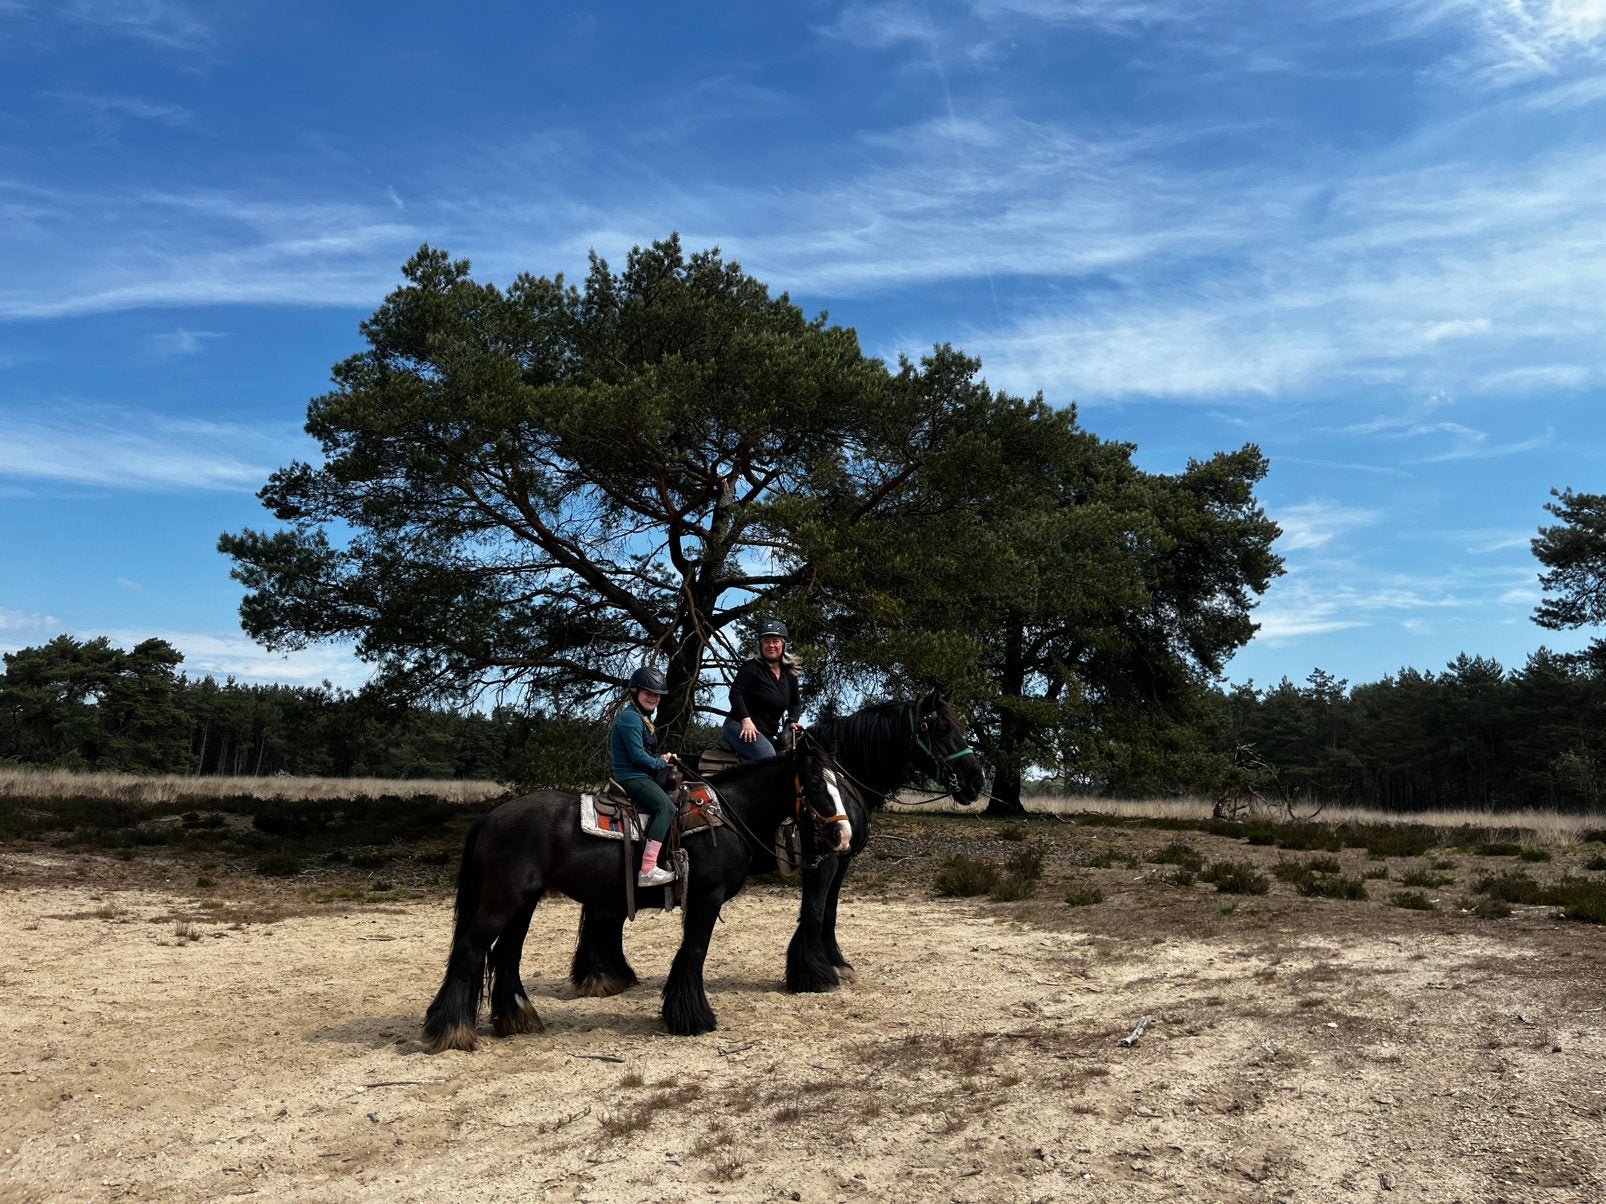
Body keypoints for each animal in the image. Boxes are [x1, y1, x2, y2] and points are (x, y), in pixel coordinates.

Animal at [422, 742, 853, 1052]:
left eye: (839, 783)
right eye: (817, 785)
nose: (842, 835)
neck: (725, 816)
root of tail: (491, 817)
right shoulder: (706, 897)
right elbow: (694, 951)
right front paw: (692, 1017)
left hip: (523, 903)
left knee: (506, 954)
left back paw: (517, 1018)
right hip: (502, 901)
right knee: (470, 950)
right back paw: (452, 1031)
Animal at [785, 689, 987, 994]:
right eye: (941, 727)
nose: (976, 782)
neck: (838, 779)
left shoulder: (843, 859)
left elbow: (829, 910)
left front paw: (836, 964)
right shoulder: (824, 859)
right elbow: (814, 910)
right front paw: (811, 975)